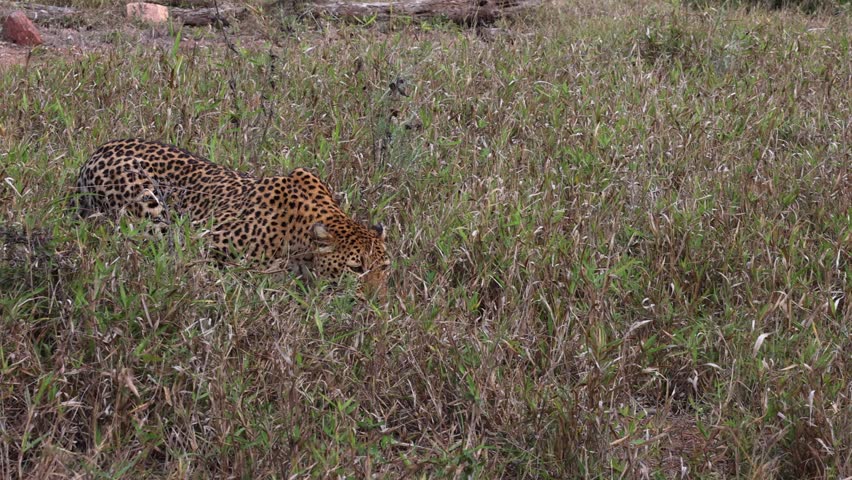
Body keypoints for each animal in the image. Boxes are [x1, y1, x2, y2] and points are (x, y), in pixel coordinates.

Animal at [74, 139, 390, 296]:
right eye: (356, 269)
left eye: (385, 268)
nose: (378, 300)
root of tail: (98, 150)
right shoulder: (200, 244)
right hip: (149, 210)